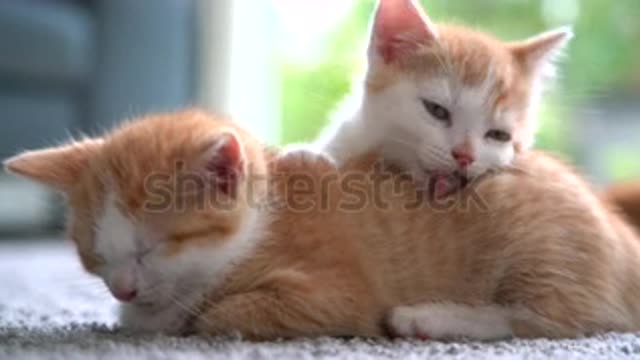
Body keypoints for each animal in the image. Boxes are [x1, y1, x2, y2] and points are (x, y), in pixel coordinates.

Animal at [6, 109, 640, 340]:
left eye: (156, 246)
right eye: (95, 256)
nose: (123, 288)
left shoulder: (337, 292)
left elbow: (217, 314)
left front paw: (186, 317)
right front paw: (141, 314)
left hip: (542, 252)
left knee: (560, 319)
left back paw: (427, 317)